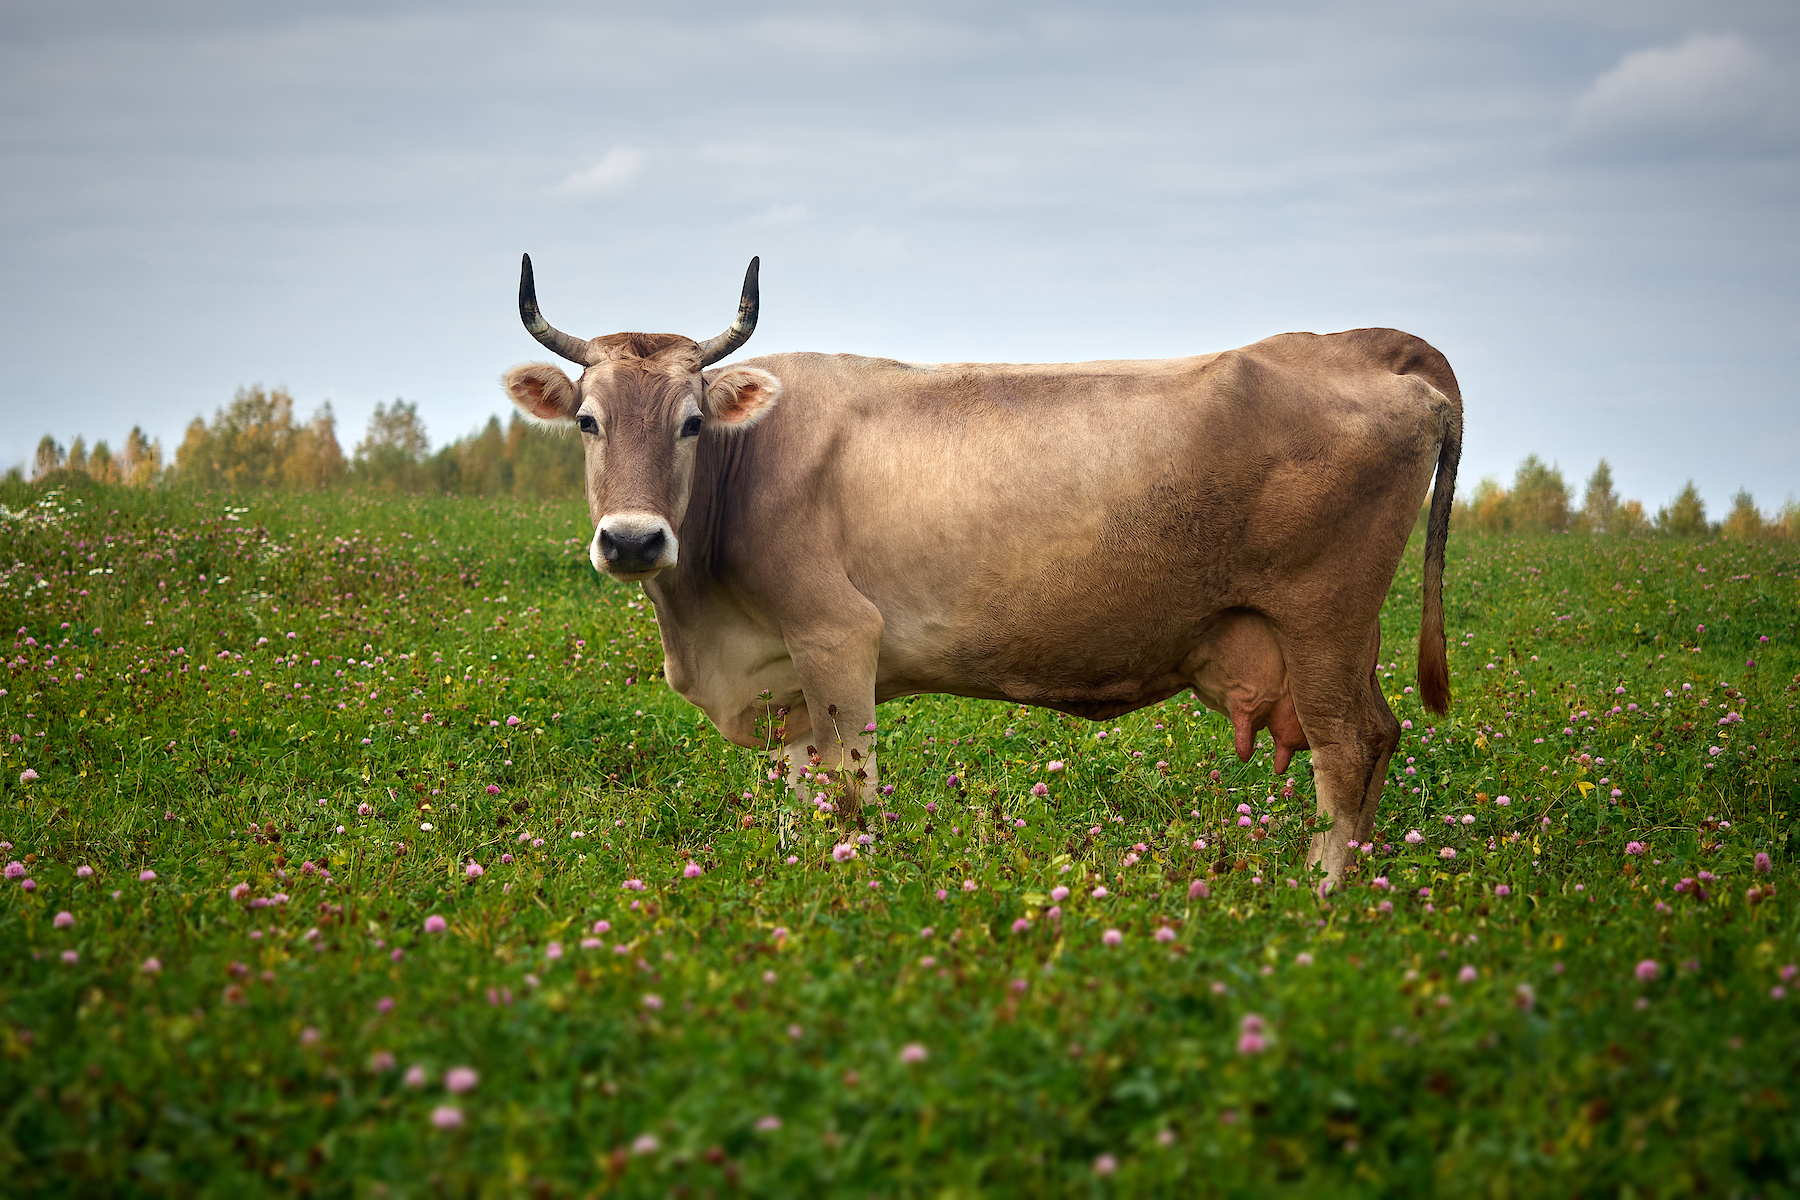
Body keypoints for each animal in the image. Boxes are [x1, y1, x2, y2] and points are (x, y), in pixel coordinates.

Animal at [500, 255, 1454, 892]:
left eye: (693, 422)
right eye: (586, 420)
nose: (631, 541)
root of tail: (1363, 346)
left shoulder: (837, 638)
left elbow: (851, 799)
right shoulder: (787, 679)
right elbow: (800, 810)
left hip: (1322, 617)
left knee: (1348, 747)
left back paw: (1319, 900)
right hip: (1345, 632)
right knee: (1381, 736)